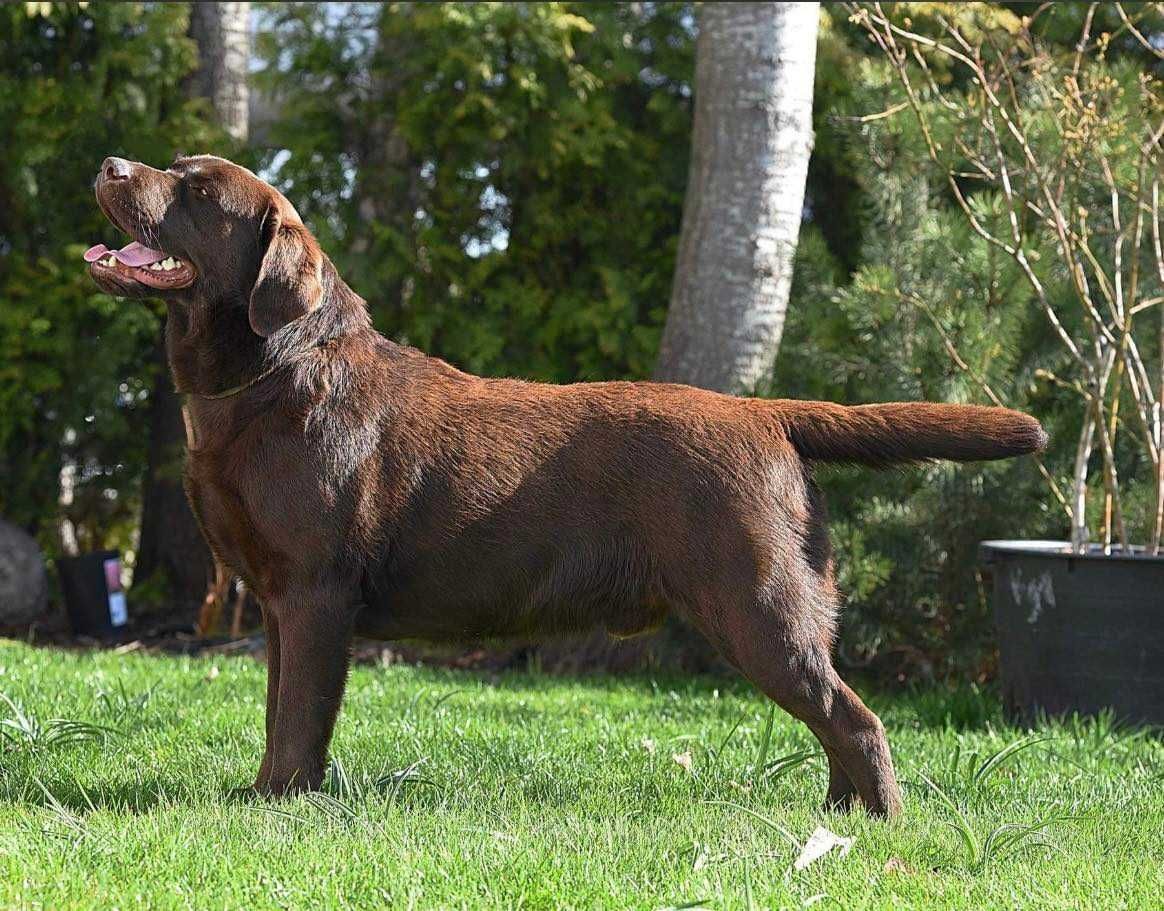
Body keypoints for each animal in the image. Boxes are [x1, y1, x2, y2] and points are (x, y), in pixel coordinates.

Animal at [84, 153, 1047, 814]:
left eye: (197, 193)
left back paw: (876, 827)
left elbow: (300, 715)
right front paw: (261, 792)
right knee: (835, 720)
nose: (111, 164)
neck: (272, 375)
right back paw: (837, 817)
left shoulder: (318, 593)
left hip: (760, 606)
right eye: (172, 166)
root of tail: (767, 413)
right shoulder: (281, 603)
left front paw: (283, 802)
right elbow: (280, 705)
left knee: (856, 719)